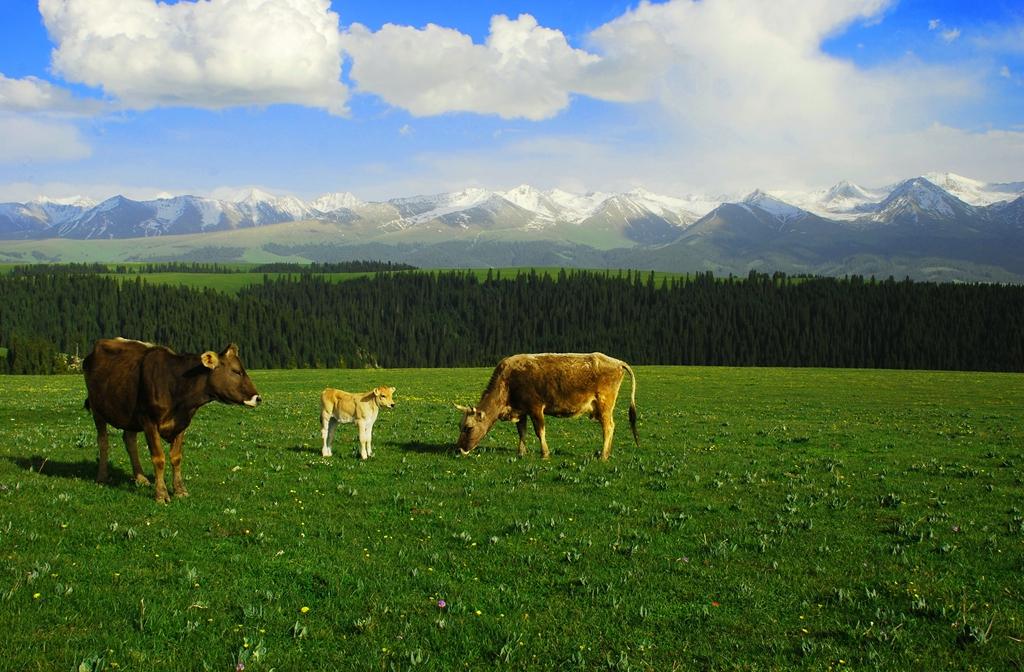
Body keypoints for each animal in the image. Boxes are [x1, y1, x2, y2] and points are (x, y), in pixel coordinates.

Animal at [82, 338, 262, 501]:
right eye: (236, 371)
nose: (258, 398)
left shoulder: (182, 423)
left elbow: (176, 458)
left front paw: (180, 490)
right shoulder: (149, 421)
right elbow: (159, 458)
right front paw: (161, 494)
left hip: (128, 415)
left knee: (129, 440)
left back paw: (140, 478)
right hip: (97, 409)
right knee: (103, 441)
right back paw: (102, 477)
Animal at [454, 352, 634, 463]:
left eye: (468, 427)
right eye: (459, 426)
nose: (458, 449)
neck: (507, 382)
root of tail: (617, 362)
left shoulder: (536, 408)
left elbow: (540, 432)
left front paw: (545, 454)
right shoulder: (521, 410)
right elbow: (522, 432)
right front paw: (521, 452)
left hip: (605, 405)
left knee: (608, 427)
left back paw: (603, 455)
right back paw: (607, 453)